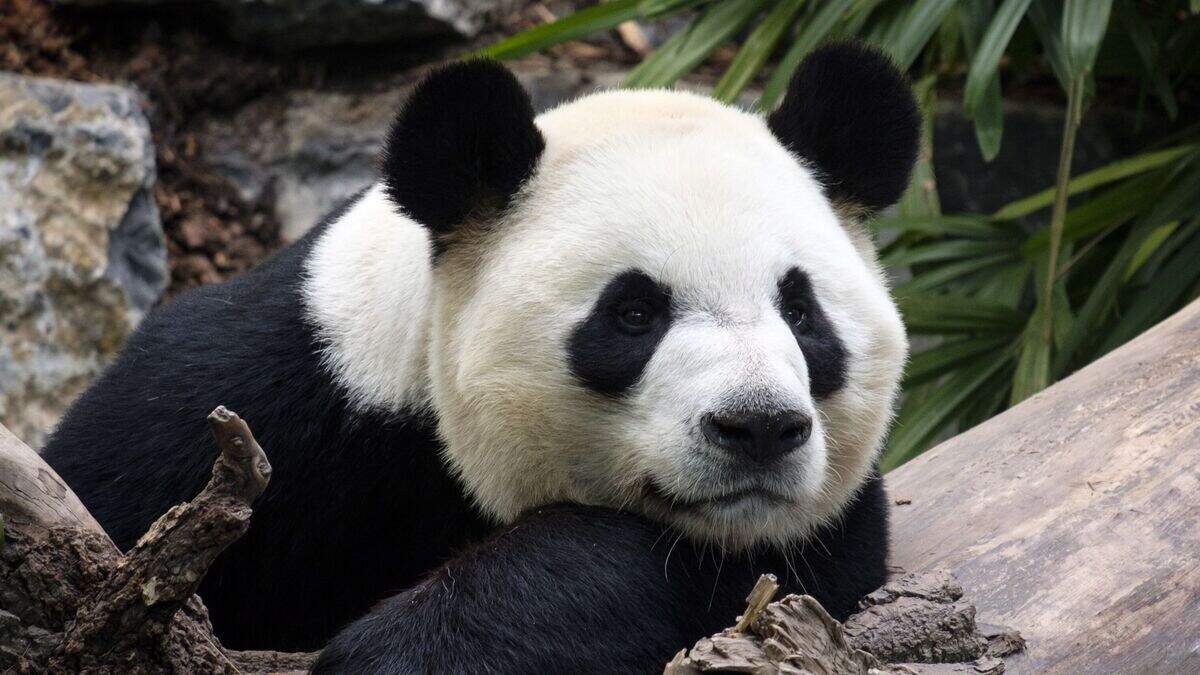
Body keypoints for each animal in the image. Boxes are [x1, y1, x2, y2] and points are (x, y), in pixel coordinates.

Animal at [41, 42, 916, 669]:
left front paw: (405, 650)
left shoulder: (807, 539)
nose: (759, 426)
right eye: (634, 313)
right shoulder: (249, 396)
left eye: (801, 312)